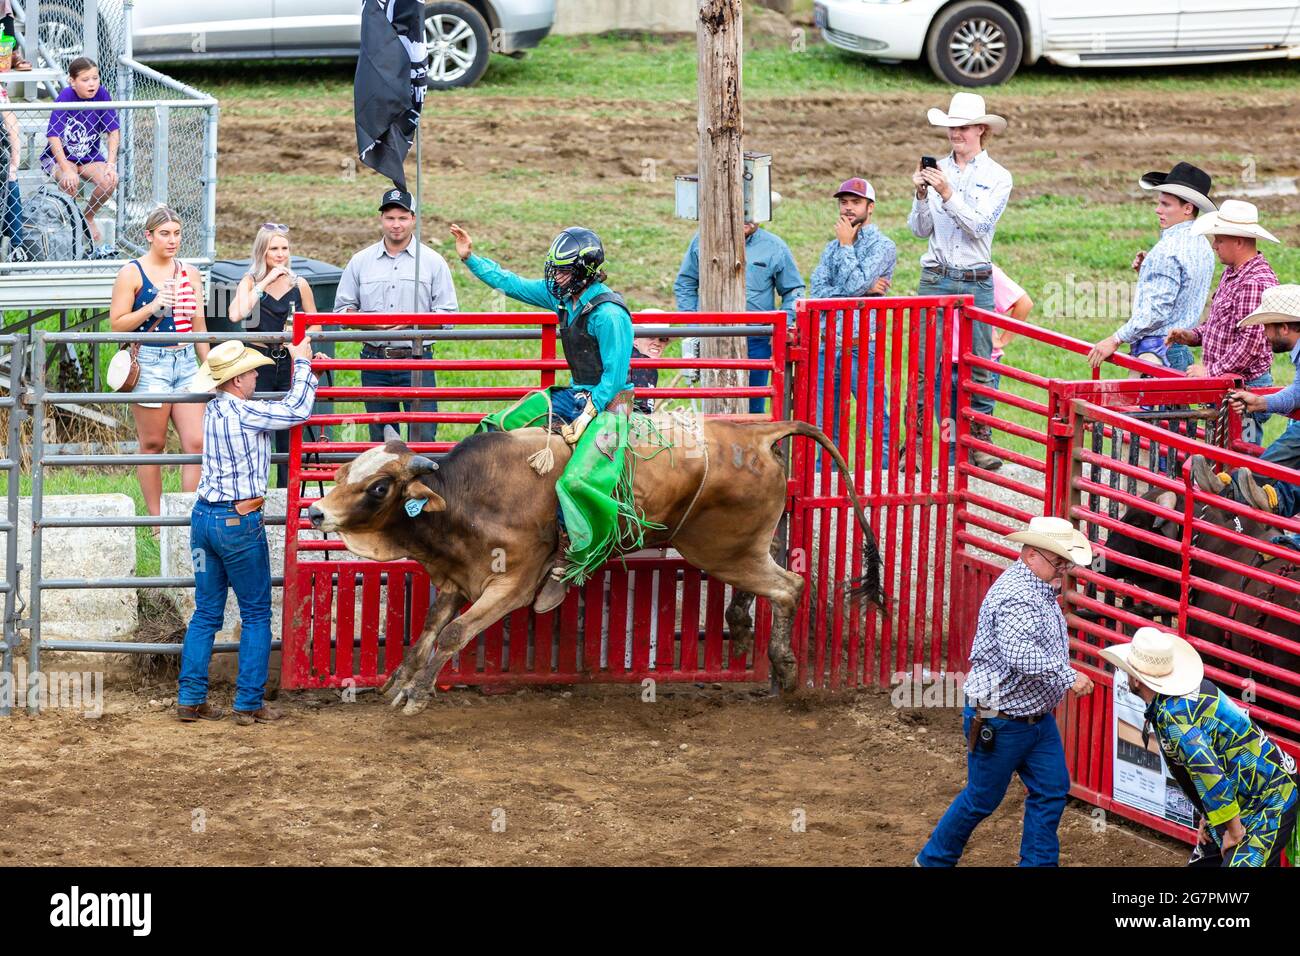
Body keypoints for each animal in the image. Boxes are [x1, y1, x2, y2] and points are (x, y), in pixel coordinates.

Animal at [309, 416, 889, 712]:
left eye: (378, 486)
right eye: (341, 474)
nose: (316, 511)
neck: (468, 497)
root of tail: (756, 434)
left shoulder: (512, 584)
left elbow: (452, 634)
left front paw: (417, 694)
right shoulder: (453, 579)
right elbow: (427, 631)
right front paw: (396, 683)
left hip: (721, 549)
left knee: (790, 584)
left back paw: (786, 671)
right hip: (739, 548)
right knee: (771, 577)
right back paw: (744, 625)